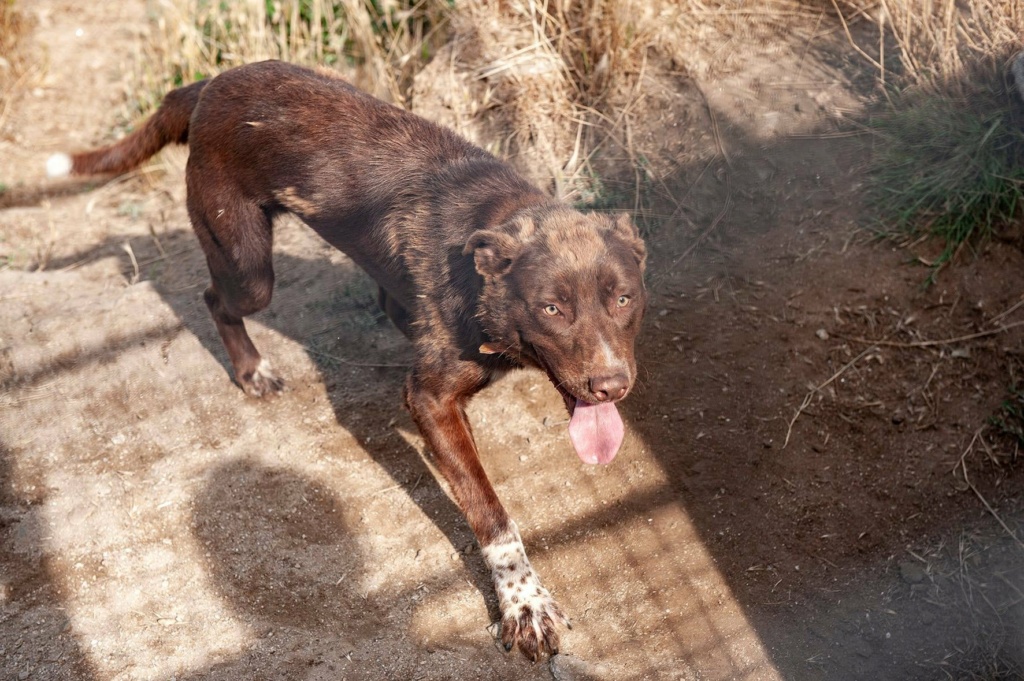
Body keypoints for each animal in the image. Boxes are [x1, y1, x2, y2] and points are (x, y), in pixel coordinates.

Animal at [49, 59, 647, 659]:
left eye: (623, 299)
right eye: (552, 308)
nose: (611, 386)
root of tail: (212, 83)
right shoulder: (429, 396)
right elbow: (491, 514)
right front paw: (525, 604)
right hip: (248, 266)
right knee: (215, 298)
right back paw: (252, 371)